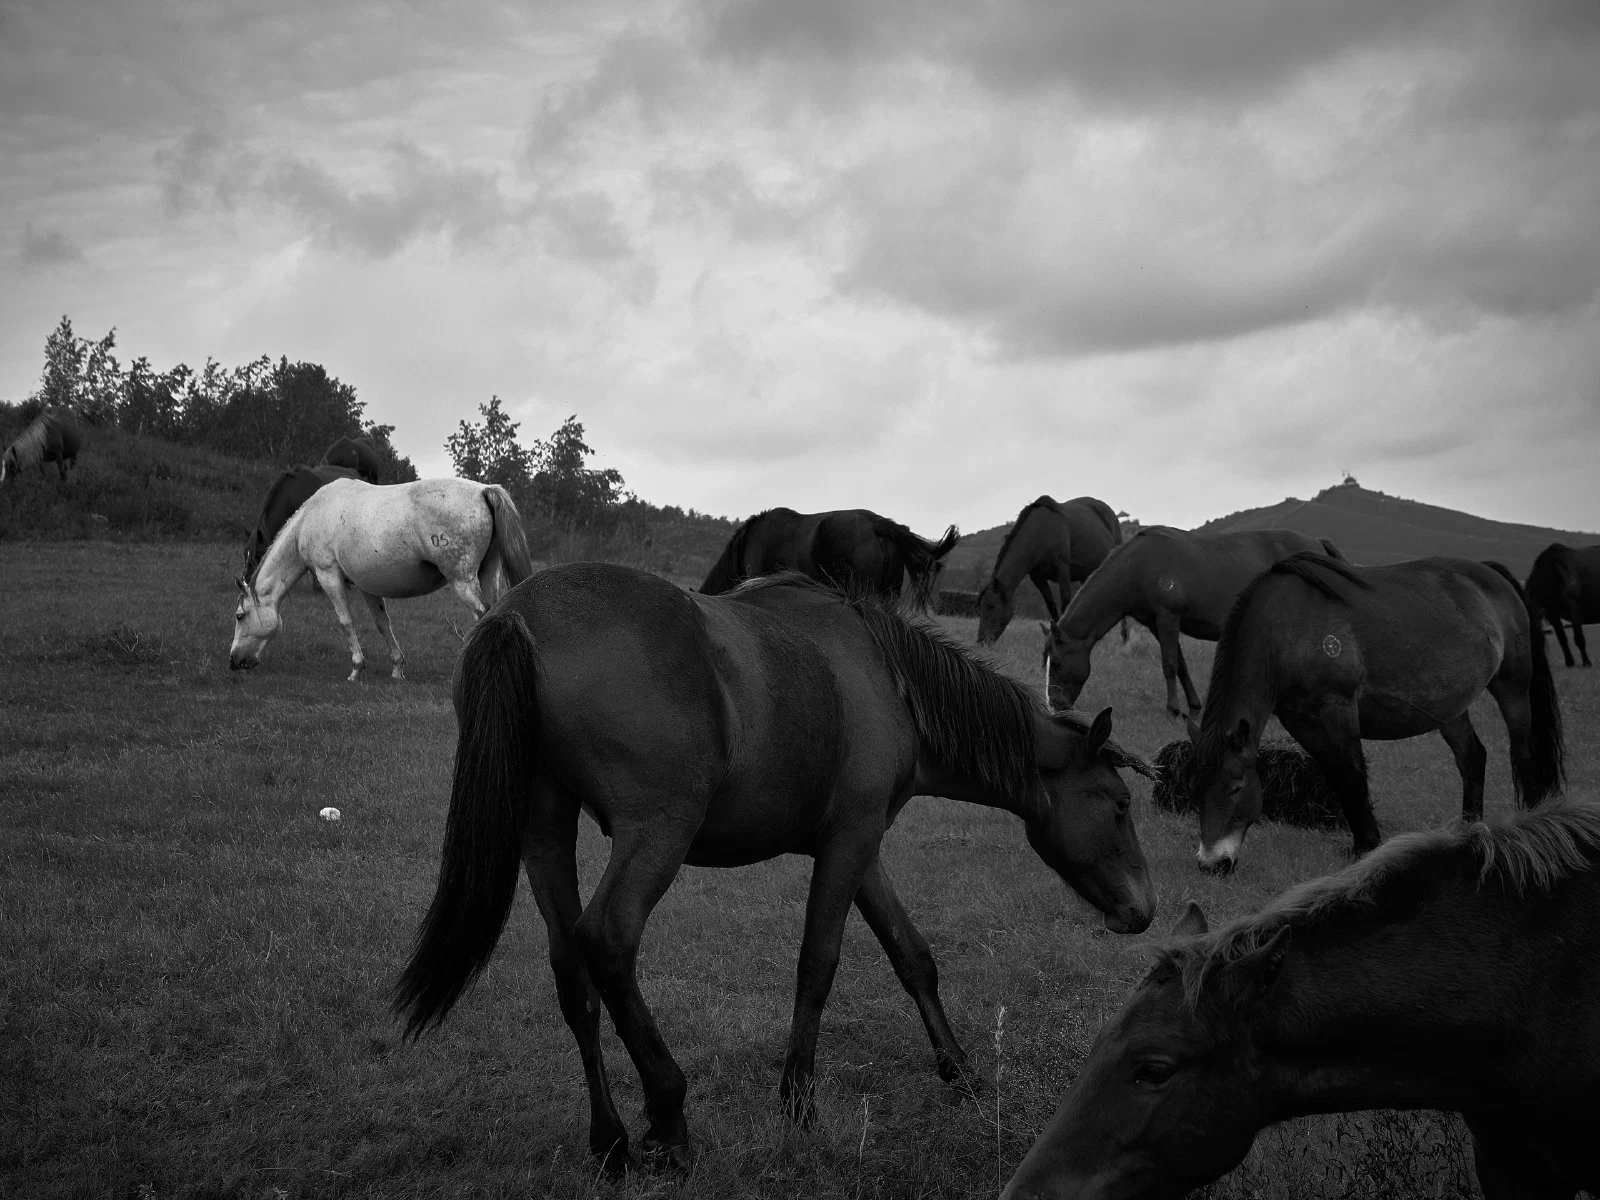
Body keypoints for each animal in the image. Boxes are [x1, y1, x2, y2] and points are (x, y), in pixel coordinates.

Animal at [229, 477, 533, 681]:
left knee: (483, 615)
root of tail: (483, 490)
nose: (234, 661)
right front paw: (397, 669)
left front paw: (356, 669)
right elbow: (382, 624)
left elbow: (345, 622)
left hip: (463, 582)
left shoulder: (328, 575)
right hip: (487, 575)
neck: (310, 519)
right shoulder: (367, 587)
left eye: (240, 616)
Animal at [391, 565, 1159, 1173]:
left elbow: (912, 956)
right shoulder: (849, 842)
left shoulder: (859, 846)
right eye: (1119, 804)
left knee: (572, 974)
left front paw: (961, 1072)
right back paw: (669, 1119)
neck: (887, 679)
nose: (1143, 910)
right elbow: (818, 964)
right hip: (657, 830)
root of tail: (517, 614)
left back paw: (609, 1141)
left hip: (545, 829)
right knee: (607, 939)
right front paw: (798, 1102)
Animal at [976, 496, 1122, 644]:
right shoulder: (1037, 577)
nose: (981, 640)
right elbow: (1051, 605)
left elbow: (1066, 603)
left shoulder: (1062, 569)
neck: (1041, 532)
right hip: (1086, 575)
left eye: (991, 605)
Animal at [1041, 528, 1344, 717]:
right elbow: (1181, 664)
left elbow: (1169, 665)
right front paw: (1194, 706)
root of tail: (1317, 542)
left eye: (1057, 663)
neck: (1136, 567)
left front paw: (1173, 709)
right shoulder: (1157, 624)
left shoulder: (1168, 617)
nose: (1054, 706)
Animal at [1190, 554, 1563, 871]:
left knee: (1524, 754)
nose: (1212, 863)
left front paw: (1368, 846)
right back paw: (1468, 830)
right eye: (1196, 789)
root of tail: (1492, 574)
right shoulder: (1301, 722)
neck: (1285, 629)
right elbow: (1337, 776)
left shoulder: (1338, 707)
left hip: (1513, 688)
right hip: (1451, 709)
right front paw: (1361, 842)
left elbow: (1353, 775)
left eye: (1236, 787)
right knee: (1472, 757)